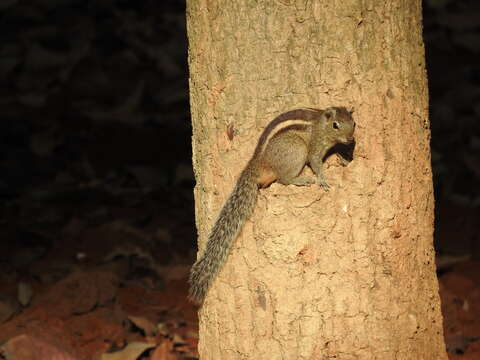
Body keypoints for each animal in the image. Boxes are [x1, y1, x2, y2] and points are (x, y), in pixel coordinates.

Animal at [189, 106, 354, 304]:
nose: (350, 139)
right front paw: (322, 179)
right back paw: (300, 180)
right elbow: (315, 162)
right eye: (335, 125)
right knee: (283, 178)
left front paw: (343, 158)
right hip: (296, 149)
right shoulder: (314, 148)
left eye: (353, 123)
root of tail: (257, 163)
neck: (321, 125)